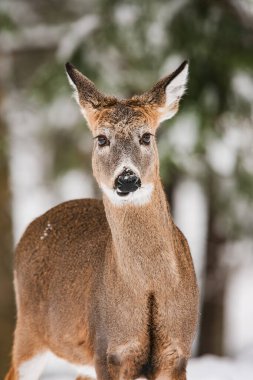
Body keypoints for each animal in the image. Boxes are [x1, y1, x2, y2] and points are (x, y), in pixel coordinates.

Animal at [4, 60, 200, 380]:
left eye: (146, 136)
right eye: (102, 139)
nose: (127, 178)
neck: (149, 288)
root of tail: (32, 226)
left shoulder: (177, 353)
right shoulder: (108, 350)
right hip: (30, 332)